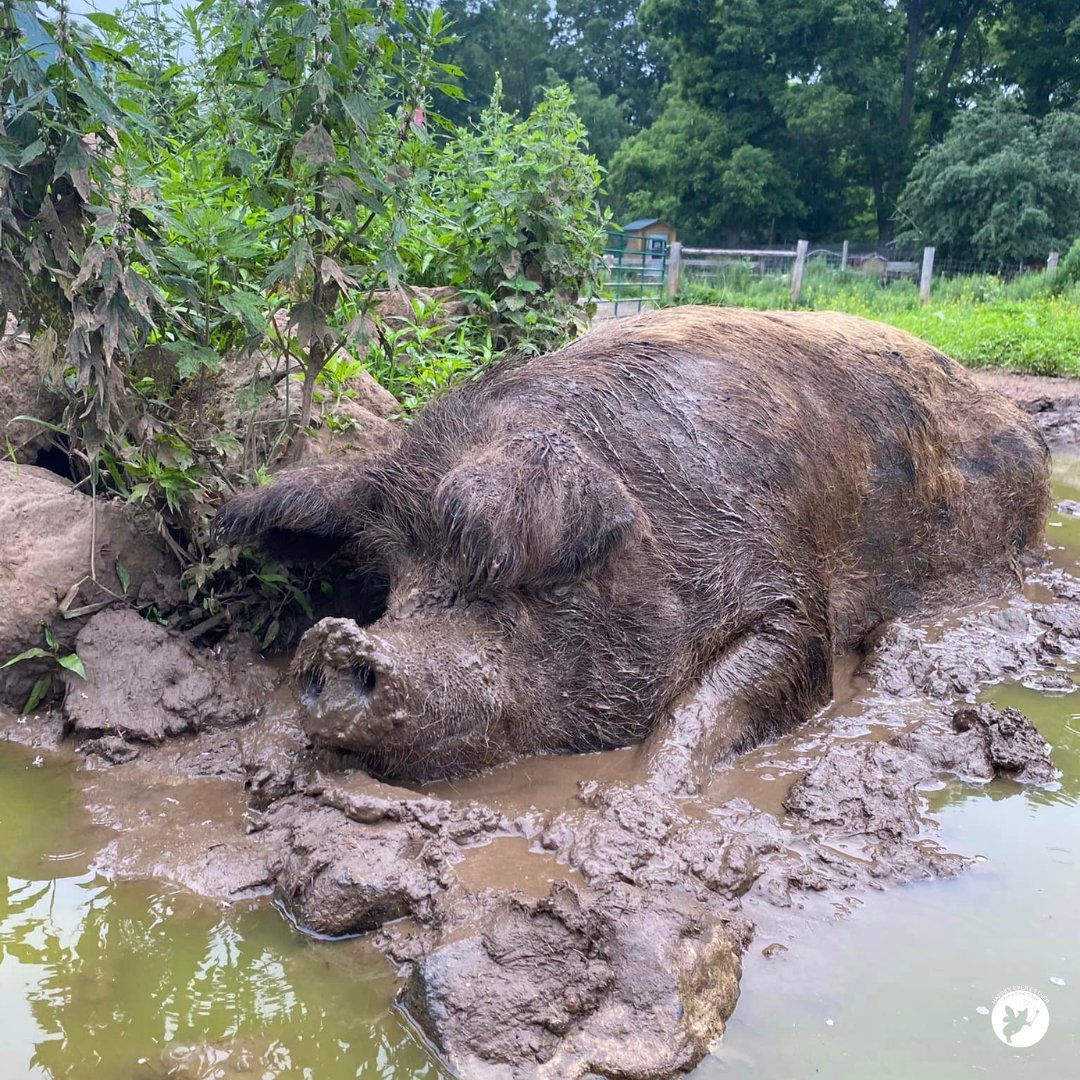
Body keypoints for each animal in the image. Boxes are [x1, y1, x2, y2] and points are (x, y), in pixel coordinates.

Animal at [215, 307, 1049, 783]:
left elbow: (734, 695)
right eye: (389, 581)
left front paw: (646, 793)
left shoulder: (788, 594)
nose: (334, 640)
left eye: (518, 580)